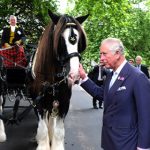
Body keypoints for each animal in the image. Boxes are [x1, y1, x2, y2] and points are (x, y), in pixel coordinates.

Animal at [29, 9, 88, 149]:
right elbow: (42, 128)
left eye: (78, 40)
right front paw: (43, 144)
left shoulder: (64, 103)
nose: (74, 74)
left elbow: (59, 131)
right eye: (60, 38)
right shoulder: (38, 103)